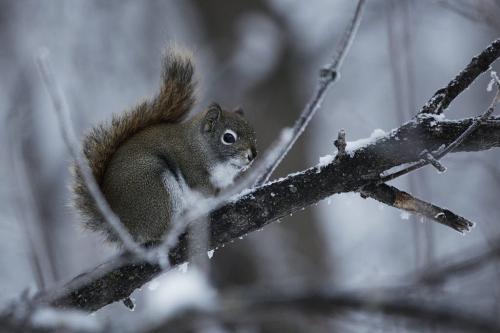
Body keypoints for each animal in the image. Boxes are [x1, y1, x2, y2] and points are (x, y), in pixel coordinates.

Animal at [72, 47, 258, 244]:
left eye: (253, 133)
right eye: (228, 138)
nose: (252, 155)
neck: (202, 147)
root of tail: (121, 226)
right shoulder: (192, 167)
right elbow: (203, 189)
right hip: (157, 190)